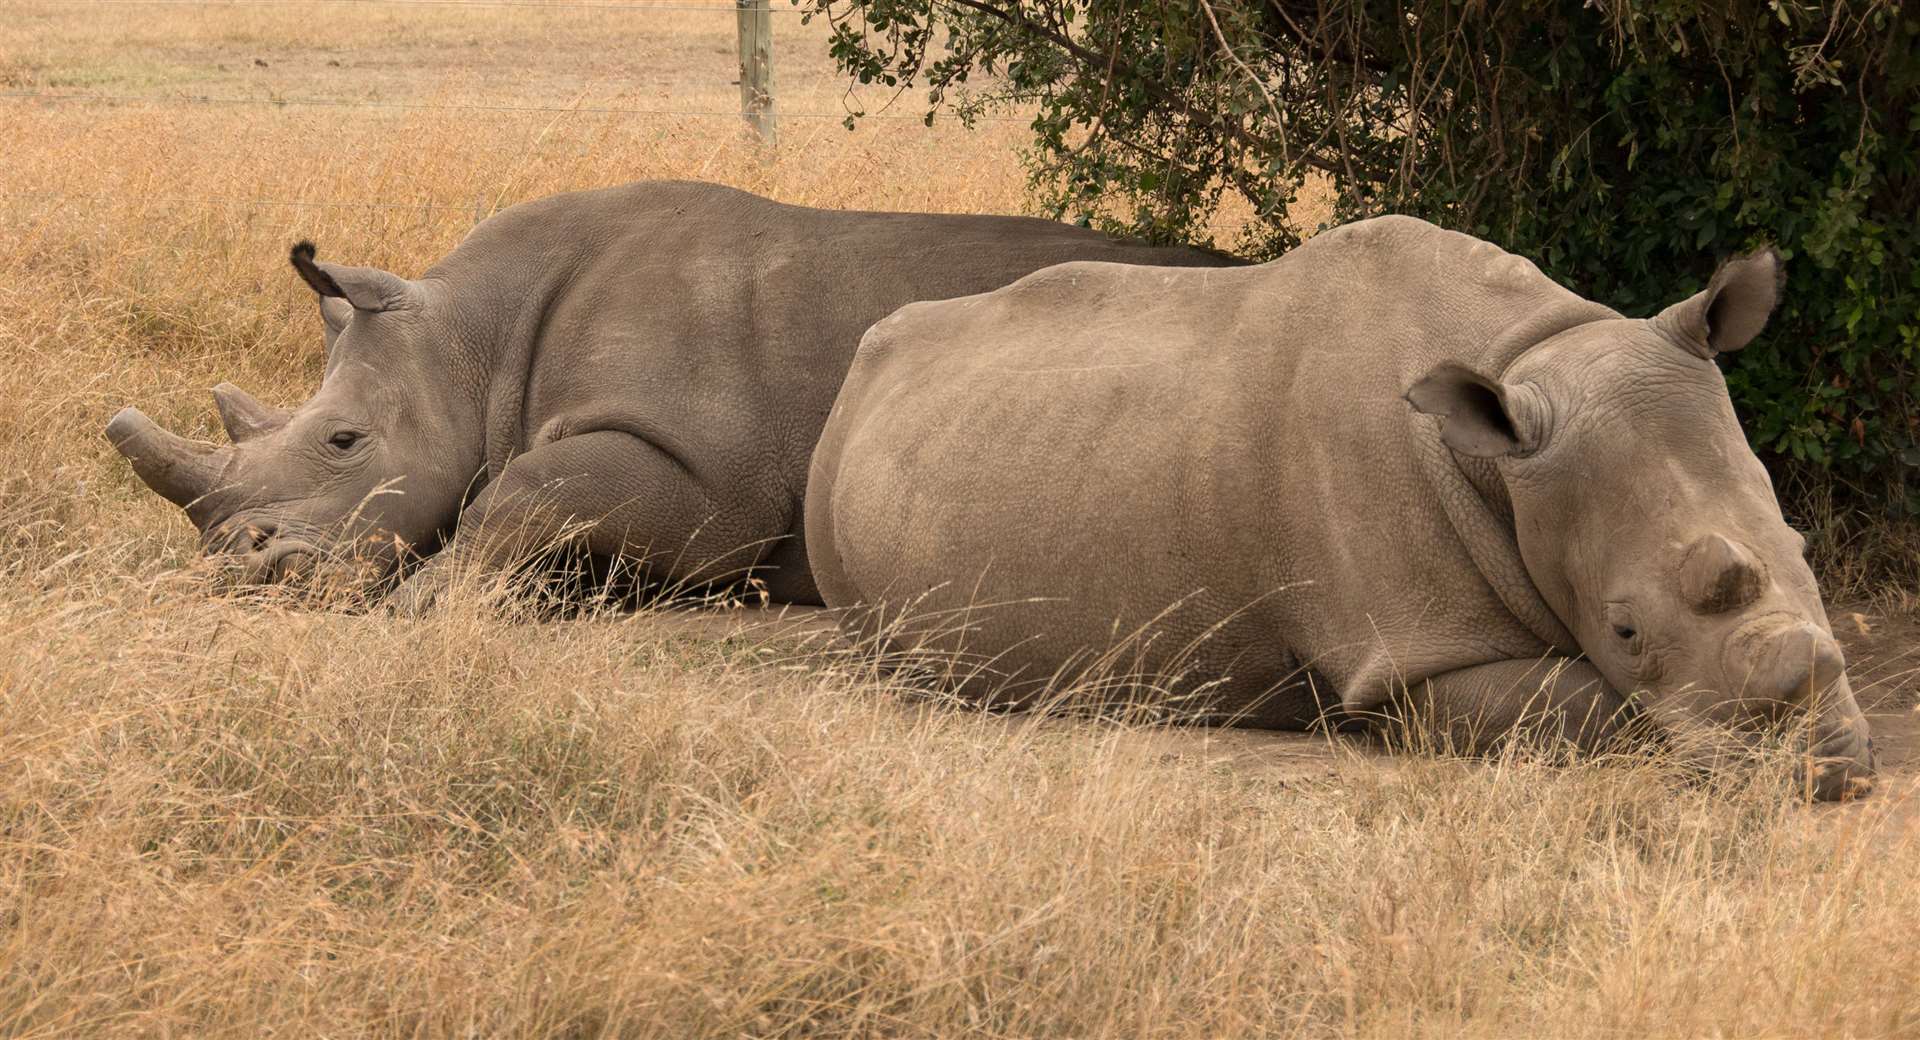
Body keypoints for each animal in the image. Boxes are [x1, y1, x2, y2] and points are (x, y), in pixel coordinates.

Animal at [105, 176, 1236, 606]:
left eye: (342, 441)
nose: (236, 565)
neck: (473, 339)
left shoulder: (712, 486)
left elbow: (524, 488)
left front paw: (429, 597)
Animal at [806, 212, 1873, 798]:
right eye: (1625, 629)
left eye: (1803, 548)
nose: (1829, 772)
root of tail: (868, 354)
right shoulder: (1408, 653)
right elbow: (1593, 710)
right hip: (834, 465)